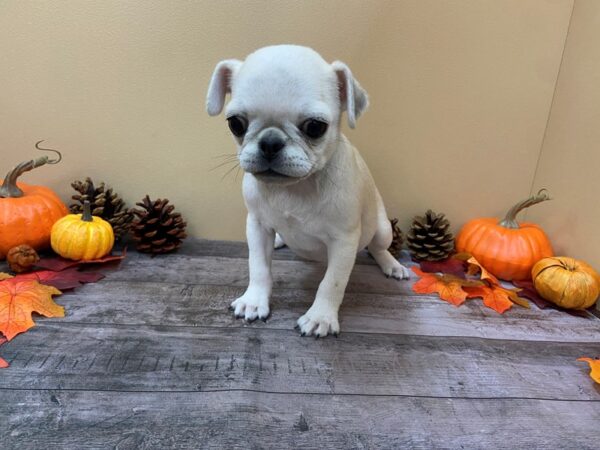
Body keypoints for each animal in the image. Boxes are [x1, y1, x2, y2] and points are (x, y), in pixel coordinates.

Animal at [206, 45, 408, 338]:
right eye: (235, 124)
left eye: (315, 126)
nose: (270, 142)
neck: (295, 187)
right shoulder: (257, 225)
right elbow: (258, 267)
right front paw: (254, 301)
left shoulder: (344, 242)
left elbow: (332, 283)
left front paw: (320, 317)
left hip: (383, 230)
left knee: (378, 246)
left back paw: (392, 265)